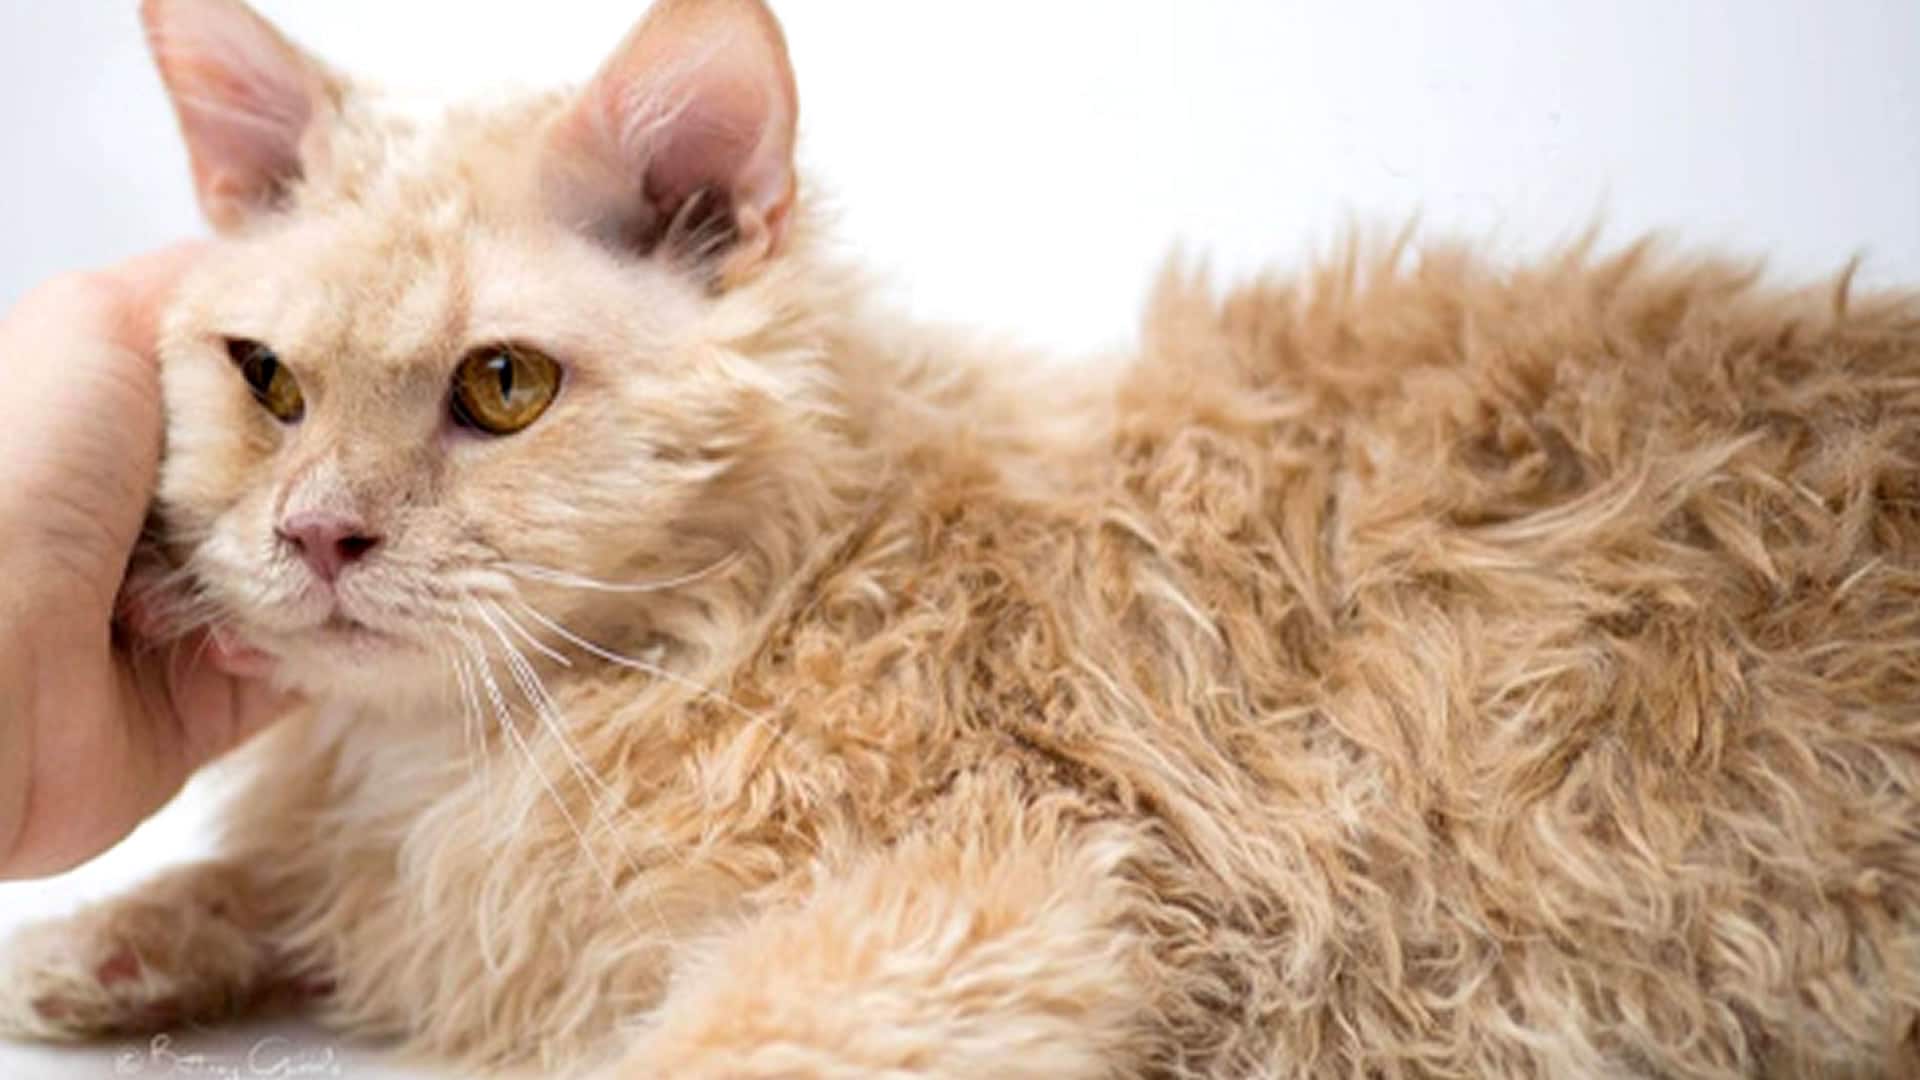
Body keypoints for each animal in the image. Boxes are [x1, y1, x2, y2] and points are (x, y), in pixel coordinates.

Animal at [3, 0, 1920, 1068]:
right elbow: (265, 879)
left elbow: (718, 1046)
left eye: (504, 387)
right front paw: (95, 947)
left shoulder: (991, 892)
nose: (321, 536)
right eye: (266, 381)